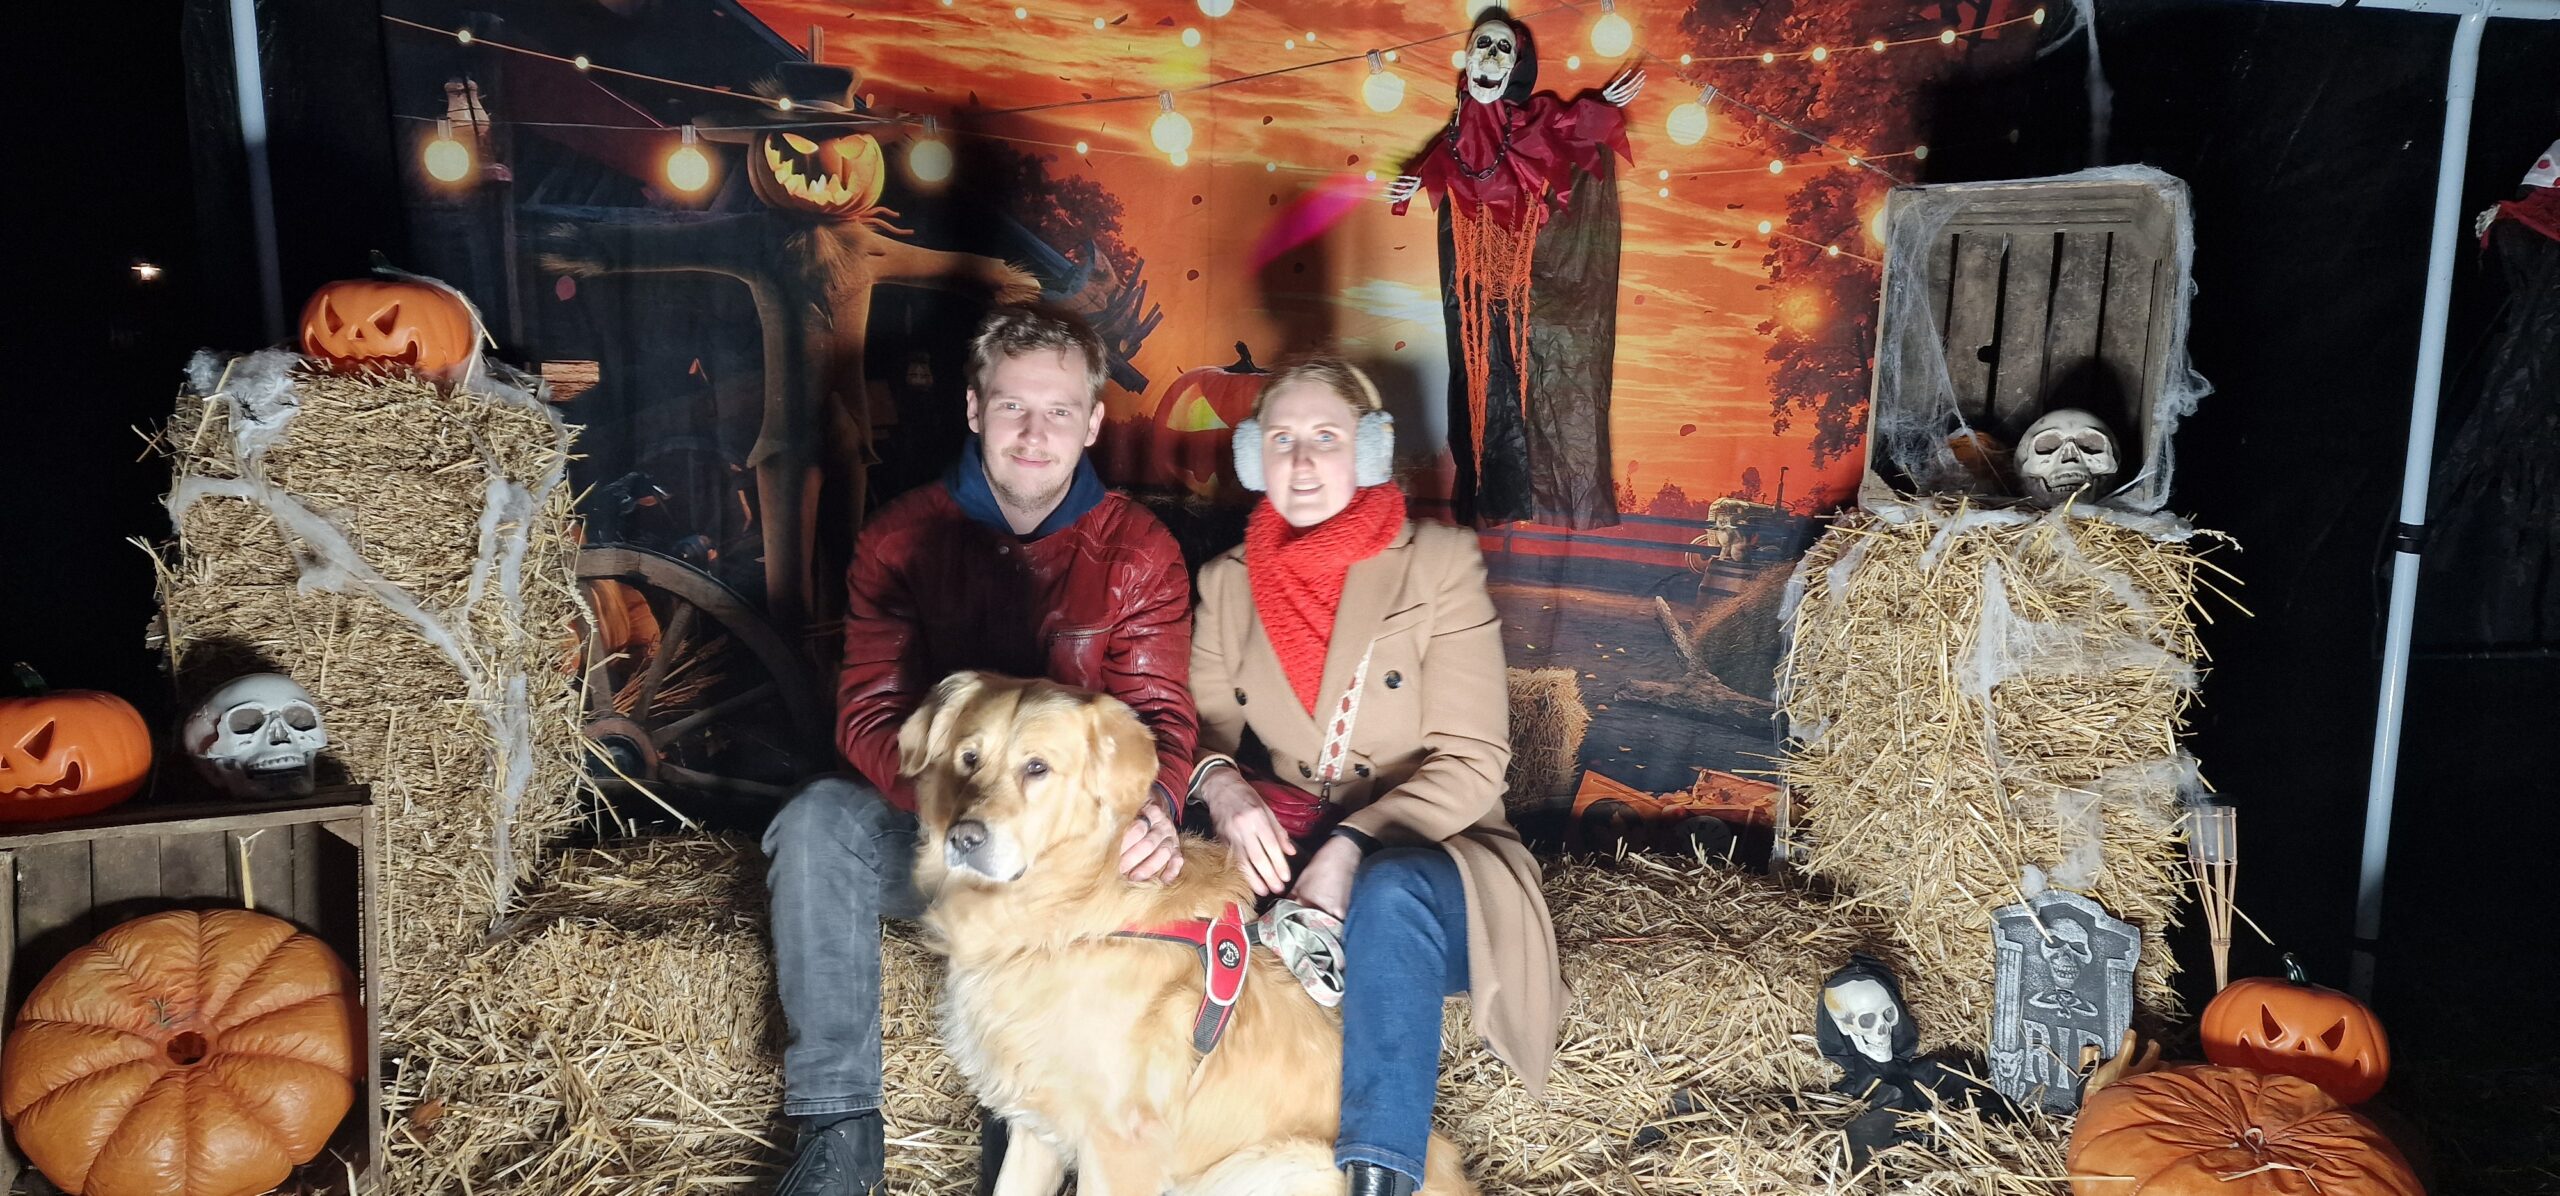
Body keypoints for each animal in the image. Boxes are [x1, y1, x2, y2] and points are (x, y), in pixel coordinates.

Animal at [899, 671, 1478, 1196]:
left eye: (1037, 768)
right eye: (968, 758)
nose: (963, 839)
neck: (1072, 914)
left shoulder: (1121, 1147)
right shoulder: (1035, 1123)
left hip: (1269, 1167)